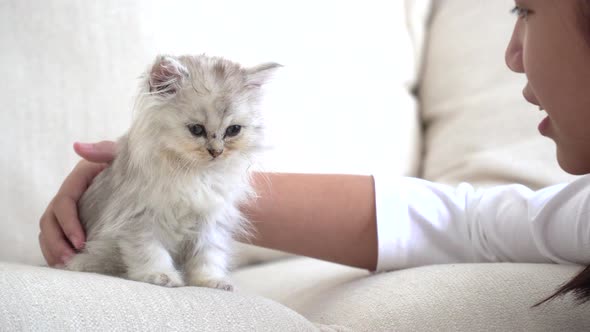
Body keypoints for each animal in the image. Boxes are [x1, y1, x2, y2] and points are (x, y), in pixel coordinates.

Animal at [66, 55, 280, 290]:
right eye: (196, 130)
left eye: (233, 130)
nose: (216, 152)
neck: (195, 175)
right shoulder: (138, 219)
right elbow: (151, 253)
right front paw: (161, 276)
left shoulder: (210, 224)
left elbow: (208, 257)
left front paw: (211, 281)